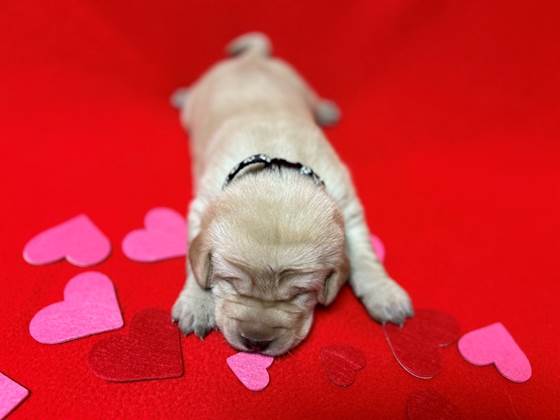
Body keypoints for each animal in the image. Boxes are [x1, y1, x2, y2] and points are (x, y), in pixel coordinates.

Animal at [171, 32, 412, 358]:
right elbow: (193, 259)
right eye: (232, 283)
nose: (255, 342)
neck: (278, 167)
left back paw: (326, 110)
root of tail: (252, 60)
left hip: (298, 83)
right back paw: (181, 95)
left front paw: (385, 294)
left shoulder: (347, 204)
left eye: (299, 293)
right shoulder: (202, 204)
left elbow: (364, 255)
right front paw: (196, 303)